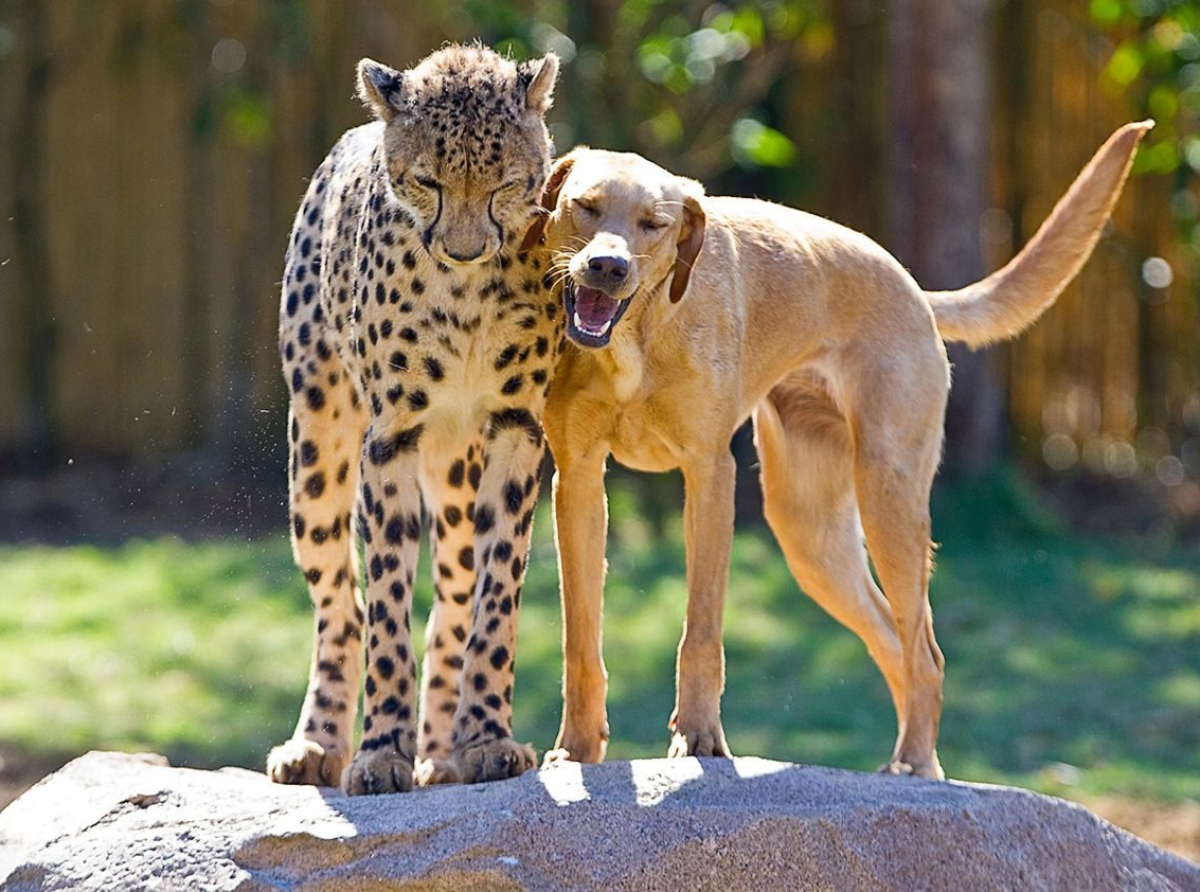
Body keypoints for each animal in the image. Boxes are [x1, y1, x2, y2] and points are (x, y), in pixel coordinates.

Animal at [267, 43, 561, 797]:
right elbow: (386, 607)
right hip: (316, 453)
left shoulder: (516, 429)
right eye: (427, 181)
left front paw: (484, 738)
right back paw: (318, 743)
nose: (463, 248)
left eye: (505, 184)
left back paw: (442, 754)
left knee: (452, 603)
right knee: (339, 607)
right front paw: (379, 752)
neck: (464, 293)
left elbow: (495, 598)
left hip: (457, 475)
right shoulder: (390, 437)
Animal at [530, 121, 1147, 777]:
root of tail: (913, 288)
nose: (607, 267)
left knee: (925, 652)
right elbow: (580, 640)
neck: (635, 341)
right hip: (814, 537)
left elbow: (701, 632)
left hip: (887, 501)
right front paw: (577, 748)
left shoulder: (709, 476)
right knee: (894, 642)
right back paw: (917, 765)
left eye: (654, 223)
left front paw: (699, 740)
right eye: (586, 206)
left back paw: (913, 764)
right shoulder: (578, 482)